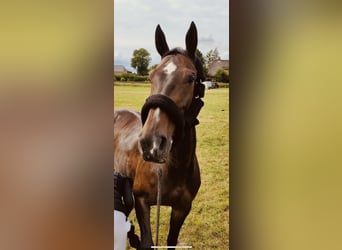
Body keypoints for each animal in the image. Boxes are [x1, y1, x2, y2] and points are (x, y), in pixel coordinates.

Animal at [115, 22, 206, 249]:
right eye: (150, 76)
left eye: (191, 78)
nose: (152, 143)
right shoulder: (141, 201)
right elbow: (147, 242)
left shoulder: (182, 209)